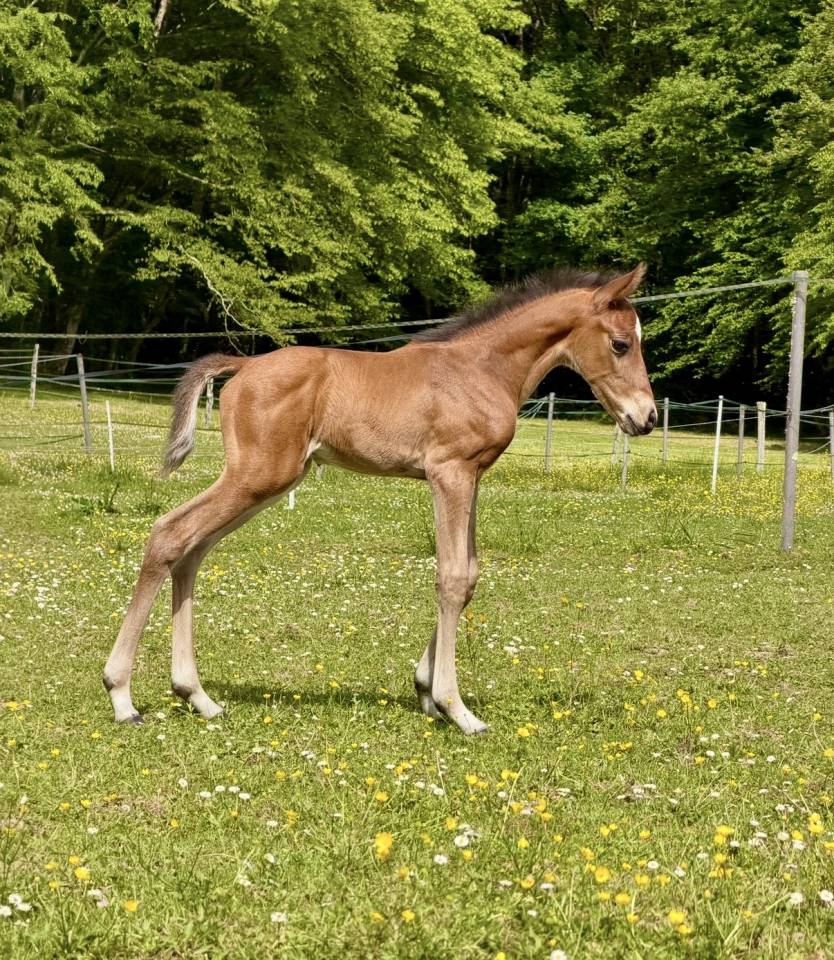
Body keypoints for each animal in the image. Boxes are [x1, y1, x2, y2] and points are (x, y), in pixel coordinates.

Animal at [103, 264, 656, 734]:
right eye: (620, 343)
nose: (647, 418)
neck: (480, 369)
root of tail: (243, 366)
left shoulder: (473, 475)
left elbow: (470, 574)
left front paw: (425, 690)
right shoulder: (449, 473)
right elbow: (452, 578)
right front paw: (457, 708)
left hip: (266, 482)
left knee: (192, 548)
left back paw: (196, 696)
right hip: (257, 476)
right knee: (170, 533)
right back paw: (122, 695)